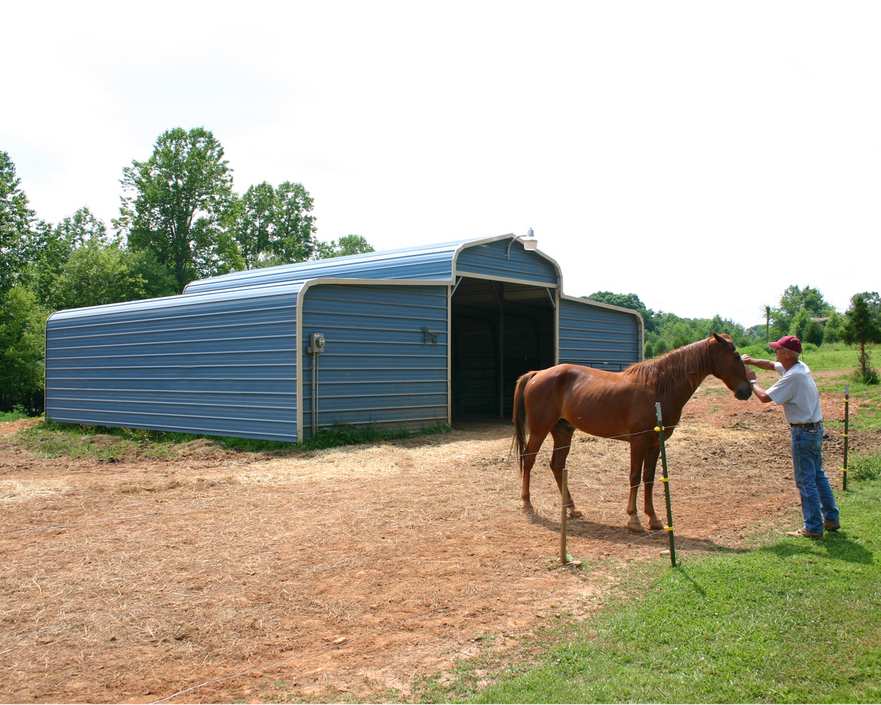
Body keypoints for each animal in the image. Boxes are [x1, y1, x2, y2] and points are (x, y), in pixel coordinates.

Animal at [512, 332, 752, 532]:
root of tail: (538, 374)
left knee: (557, 465)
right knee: (529, 459)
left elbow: (649, 479)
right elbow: (635, 477)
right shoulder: (639, 441)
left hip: (563, 431)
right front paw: (633, 519)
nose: (747, 391)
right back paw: (527, 504)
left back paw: (571, 508)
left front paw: (654, 519)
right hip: (540, 430)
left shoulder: (655, 444)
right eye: (736, 357)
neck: (658, 386)